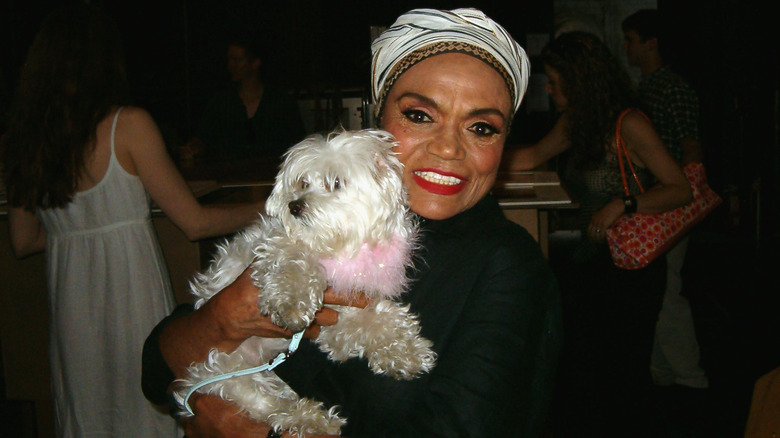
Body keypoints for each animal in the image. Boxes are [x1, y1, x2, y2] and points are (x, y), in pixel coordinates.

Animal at [173, 128, 436, 436]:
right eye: (302, 183)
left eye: (335, 182)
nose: (294, 206)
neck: (339, 246)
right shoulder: (275, 248)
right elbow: (295, 264)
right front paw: (291, 304)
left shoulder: (341, 315)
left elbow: (378, 319)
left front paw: (405, 351)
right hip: (227, 372)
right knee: (270, 406)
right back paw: (312, 420)